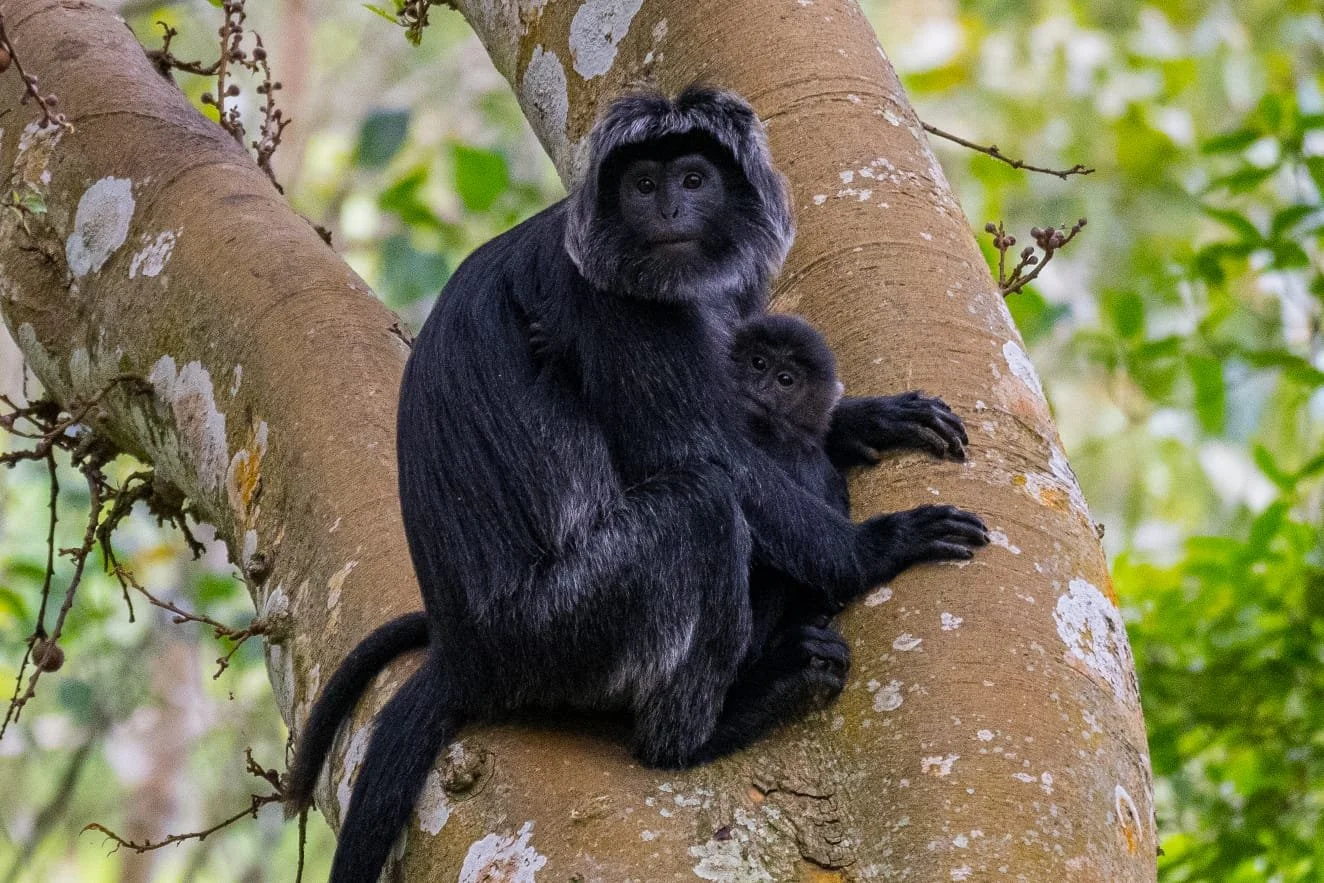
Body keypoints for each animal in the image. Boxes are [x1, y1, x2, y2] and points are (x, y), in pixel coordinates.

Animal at [287, 87, 988, 883]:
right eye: (643, 185)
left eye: (693, 180)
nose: (670, 211)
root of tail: (467, 654)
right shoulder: (607, 302)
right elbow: (704, 454)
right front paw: (877, 545)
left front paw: (866, 418)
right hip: (560, 627)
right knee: (701, 509)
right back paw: (710, 727)